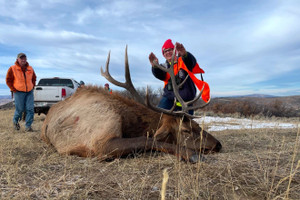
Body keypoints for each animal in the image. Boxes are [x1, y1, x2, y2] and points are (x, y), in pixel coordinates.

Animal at [41, 46, 221, 163]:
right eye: (185, 130)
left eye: (196, 124)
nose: (218, 145)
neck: (128, 121)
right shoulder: (99, 142)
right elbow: (146, 140)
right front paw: (192, 154)